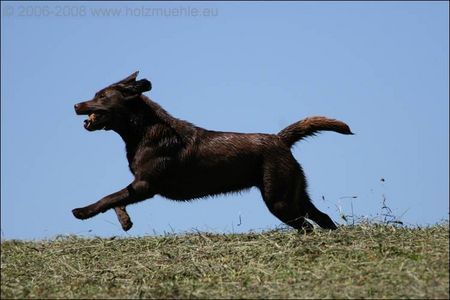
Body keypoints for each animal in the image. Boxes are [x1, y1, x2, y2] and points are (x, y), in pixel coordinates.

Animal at [72, 72, 352, 232]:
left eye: (101, 96)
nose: (75, 105)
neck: (142, 130)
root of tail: (280, 139)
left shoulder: (146, 185)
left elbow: (109, 197)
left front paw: (82, 212)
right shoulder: (138, 185)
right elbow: (117, 198)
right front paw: (125, 221)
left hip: (278, 200)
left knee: (306, 226)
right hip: (295, 193)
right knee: (322, 218)